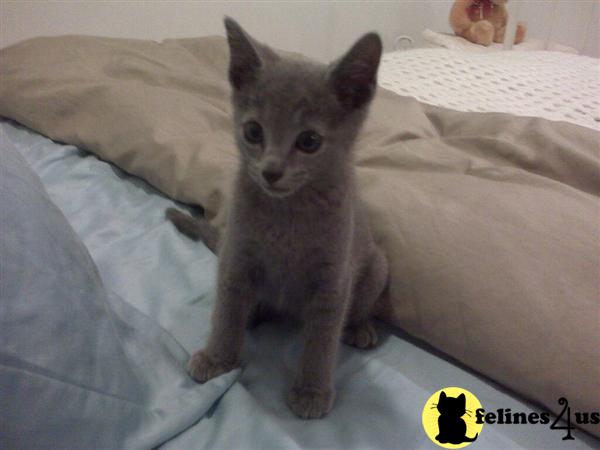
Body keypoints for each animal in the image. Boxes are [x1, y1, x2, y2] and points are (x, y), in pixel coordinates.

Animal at [166, 17, 386, 418]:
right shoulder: (237, 254)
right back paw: (252, 313)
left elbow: (322, 340)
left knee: (358, 308)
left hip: (377, 266)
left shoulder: (334, 277)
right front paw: (218, 357)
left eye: (309, 141)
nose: (270, 171)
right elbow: (227, 309)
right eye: (253, 131)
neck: (286, 216)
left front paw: (312, 390)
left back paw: (359, 328)